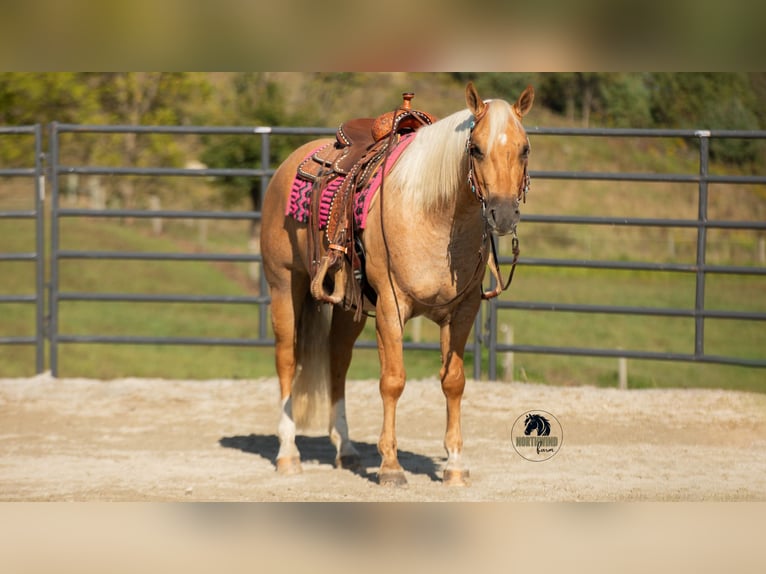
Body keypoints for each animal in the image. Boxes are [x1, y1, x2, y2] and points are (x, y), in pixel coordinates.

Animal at [260, 82, 534, 486]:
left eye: (524, 148)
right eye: (475, 149)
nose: (502, 214)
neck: (432, 215)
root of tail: (289, 162)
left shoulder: (464, 310)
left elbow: (454, 381)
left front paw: (454, 465)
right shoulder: (391, 306)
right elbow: (393, 380)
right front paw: (390, 465)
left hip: (351, 307)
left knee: (337, 360)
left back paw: (347, 450)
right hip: (283, 285)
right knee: (286, 360)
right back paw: (288, 454)